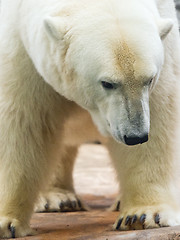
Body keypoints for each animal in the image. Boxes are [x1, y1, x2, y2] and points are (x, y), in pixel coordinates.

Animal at [0, 0, 180, 237]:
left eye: (149, 79)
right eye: (107, 83)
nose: (135, 136)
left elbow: (160, 116)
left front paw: (143, 215)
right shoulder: (22, 47)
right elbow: (23, 125)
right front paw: (7, 222)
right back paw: (56, 198)